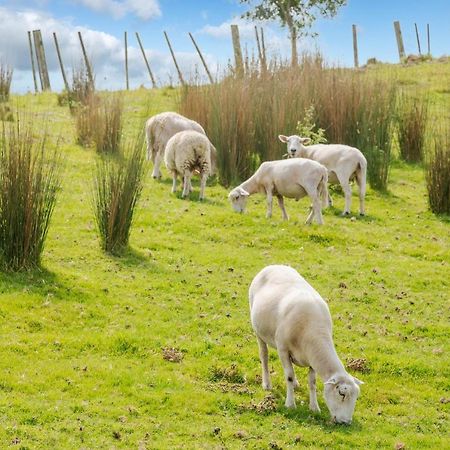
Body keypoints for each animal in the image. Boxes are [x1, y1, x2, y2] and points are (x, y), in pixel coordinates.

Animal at [250, 264, 362, 422]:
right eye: (341, 393)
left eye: (356, 397)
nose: (346, 422)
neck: (312, 330)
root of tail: (274, 265)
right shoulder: (283, 349)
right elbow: (289, 376)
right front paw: (290, 404)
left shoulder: (312, 358)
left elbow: (312, 382)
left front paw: (314, 407)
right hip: (259, 332)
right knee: (264, 356)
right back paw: (267, 384)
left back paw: (296, 384)